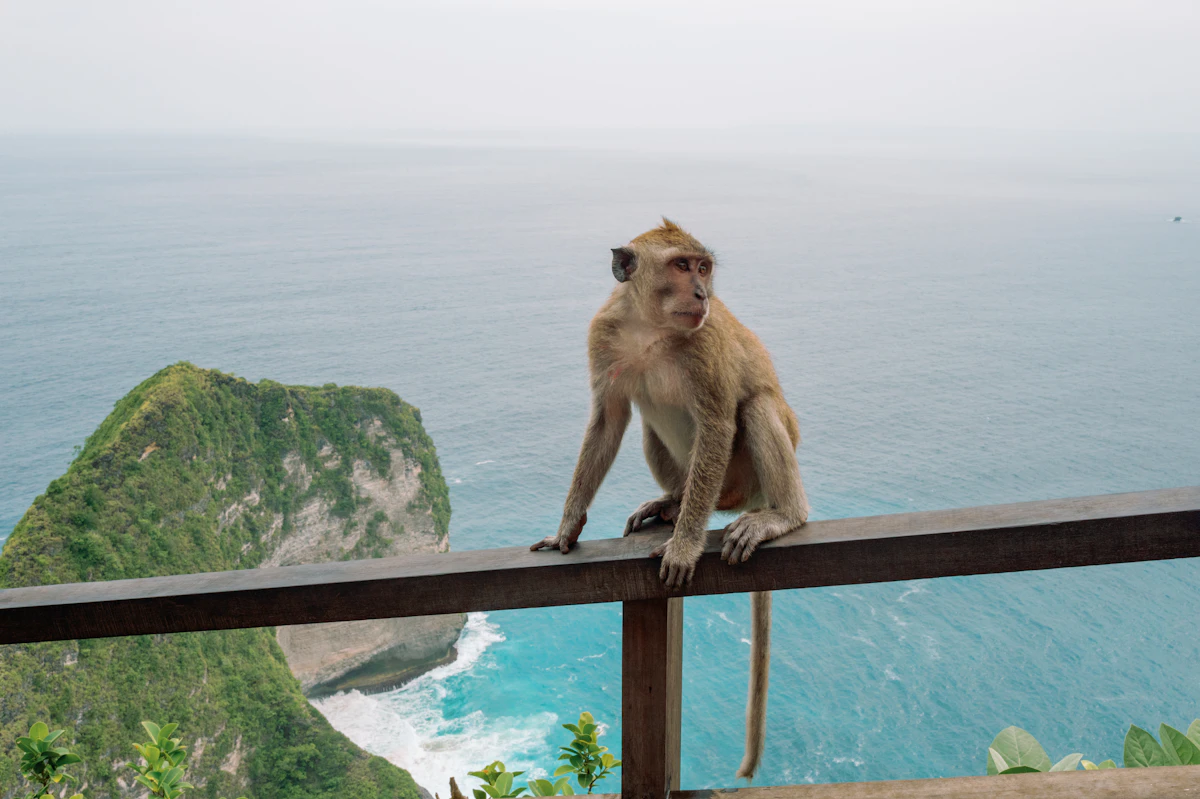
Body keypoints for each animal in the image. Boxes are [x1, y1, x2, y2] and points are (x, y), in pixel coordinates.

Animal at [530, 219, 810, 780]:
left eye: (703, 267)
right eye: (682, 266)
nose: (703, 293)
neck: (649, 327)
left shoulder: (705, 343)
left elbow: (718, 423)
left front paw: (683, 548)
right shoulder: (603, 336)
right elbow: (609, 419)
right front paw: (567, 527)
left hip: (744, 477)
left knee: (756, 407)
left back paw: (774, 516)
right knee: (647, 420)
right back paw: (672, 502)